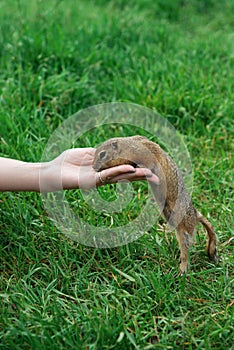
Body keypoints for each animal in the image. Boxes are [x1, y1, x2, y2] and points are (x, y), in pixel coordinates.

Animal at [93, 135, 218, 274]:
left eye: (102, 154)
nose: (93, 167)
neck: (127, 148)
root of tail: (196, 214)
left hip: (185, 228)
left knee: (186, 249)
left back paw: (182, 269)